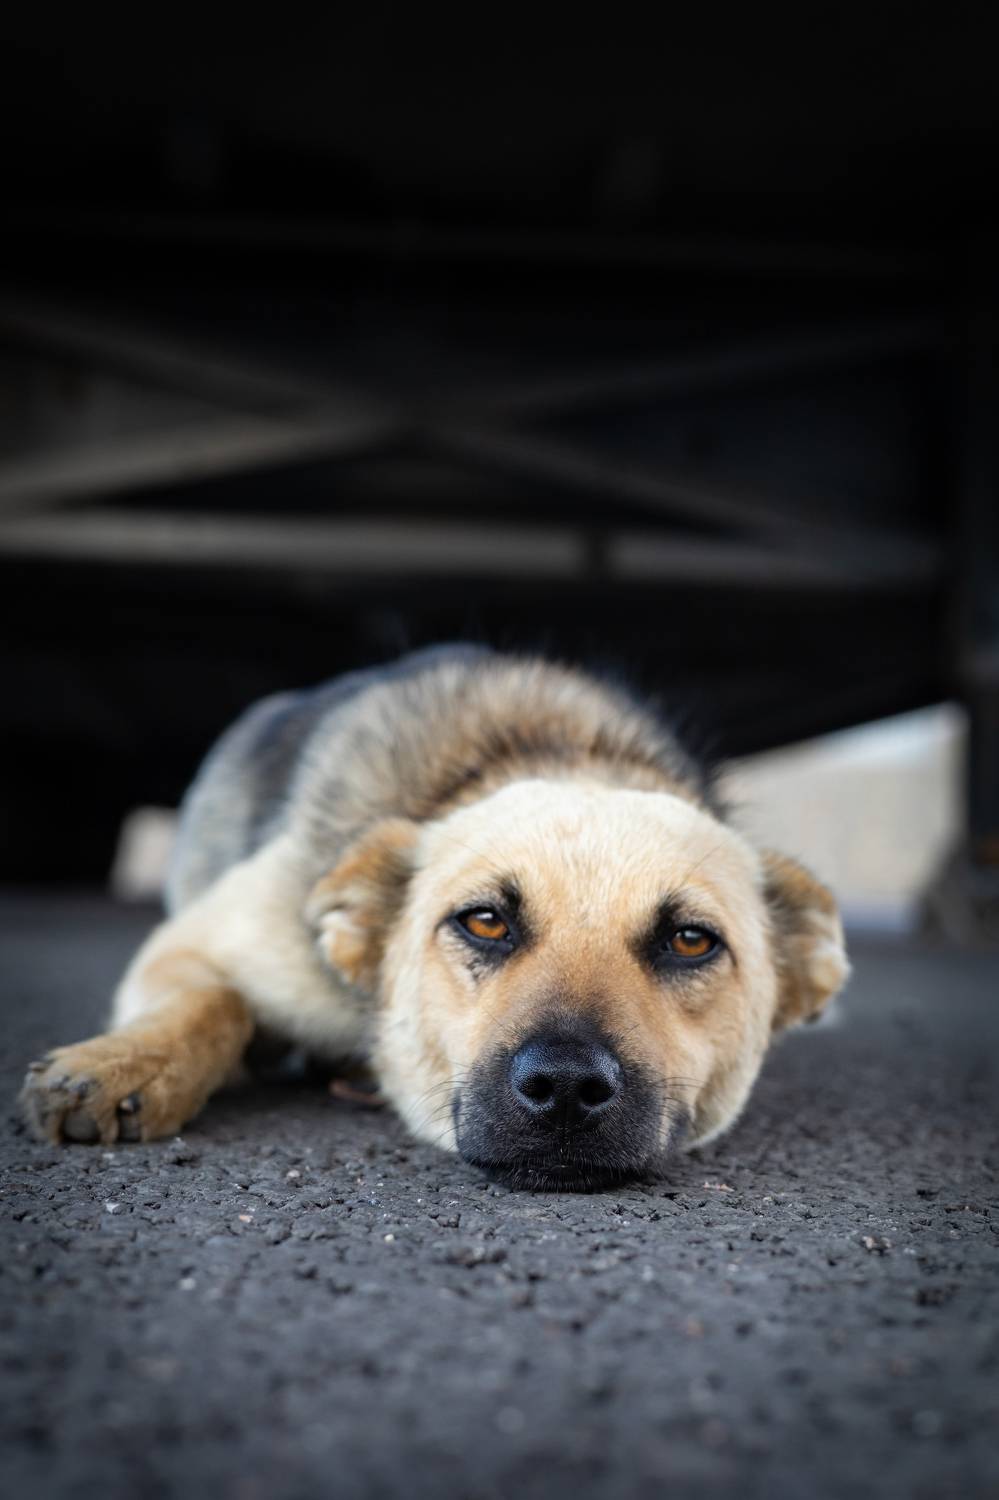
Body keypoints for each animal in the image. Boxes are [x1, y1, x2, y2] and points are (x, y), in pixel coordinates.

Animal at [21, 645, 849, 1189]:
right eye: (483, 922)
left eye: (689, 941)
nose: (565, 1089)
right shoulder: (193, 942)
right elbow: (214, 999)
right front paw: (126, 1062)